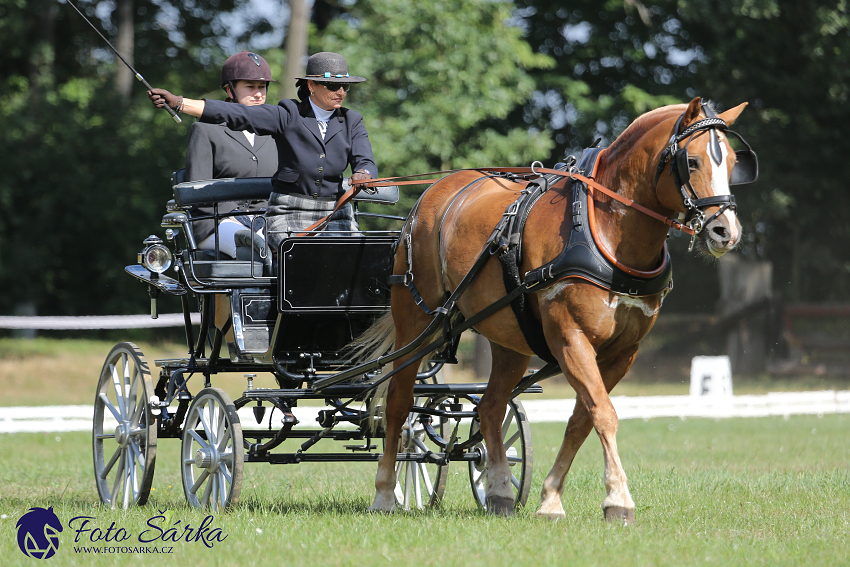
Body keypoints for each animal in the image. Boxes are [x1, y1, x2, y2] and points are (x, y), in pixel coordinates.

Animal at [364, 97, 748, 524]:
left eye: (733, 161)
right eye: (692, 161)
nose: (726, 232)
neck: (610, 233)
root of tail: (431, 195)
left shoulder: (622, 352)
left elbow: (583, 419)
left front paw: (550, 500)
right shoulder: (570, 338)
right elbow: (604, 413)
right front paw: (619, 499)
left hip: (508, 338)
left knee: (491, 407)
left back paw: (499, 490)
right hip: (416, 323)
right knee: (399, 402)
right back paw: (385, 493)